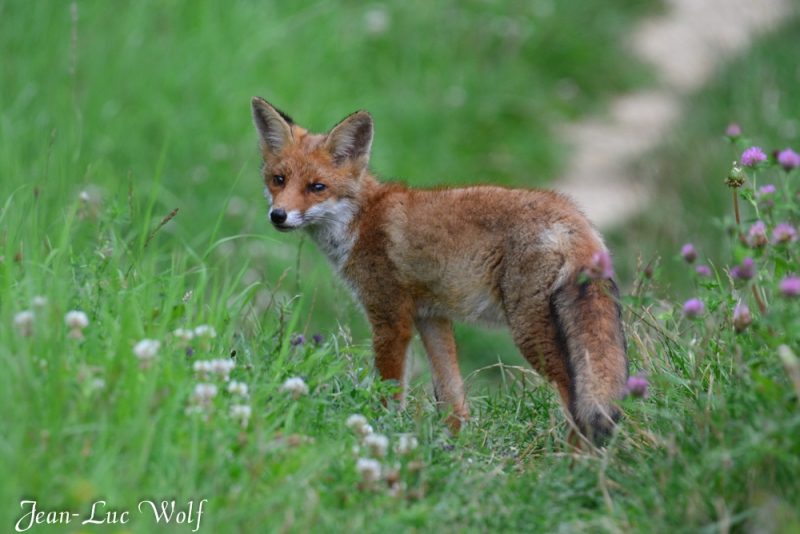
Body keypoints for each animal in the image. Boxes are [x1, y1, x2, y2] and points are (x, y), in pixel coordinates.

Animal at [252, 98, 632, 442]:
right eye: (278, 180)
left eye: (317, 187)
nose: (278, 215)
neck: (361, 223)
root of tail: (574, 218)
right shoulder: (431, 317)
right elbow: (452, 398)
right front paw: (456, 450)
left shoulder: (391, 321)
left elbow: (391, 393)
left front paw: (380, 434)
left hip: (529, 331)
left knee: (573, 393)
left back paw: (572, 461)